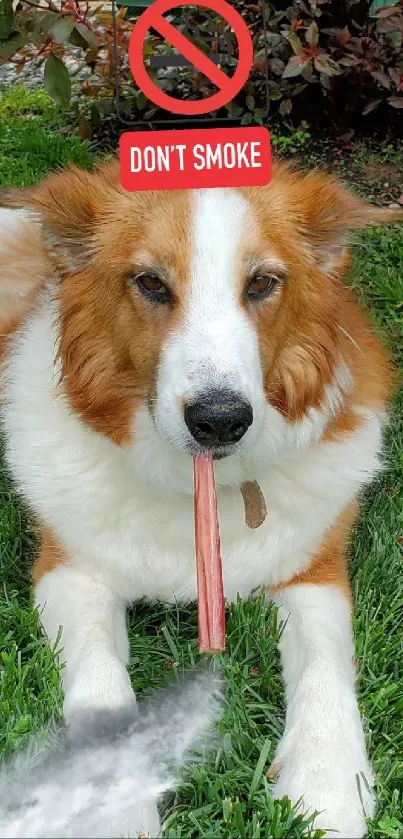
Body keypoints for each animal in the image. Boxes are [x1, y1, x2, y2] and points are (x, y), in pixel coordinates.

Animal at [0, 159, 400, 839]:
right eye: (149, 283)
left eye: (262, 283)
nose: (220, 421)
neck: (194, 488)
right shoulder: (70, 571)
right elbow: (101, 678)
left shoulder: (314, 572)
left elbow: (325, 664)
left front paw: (327, 785)